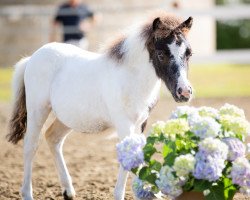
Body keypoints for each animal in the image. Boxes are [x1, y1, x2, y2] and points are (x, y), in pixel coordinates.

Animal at [6, 12, 193, 200]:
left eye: (188, 53)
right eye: (161, 54)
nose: (184, 92)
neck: (131, 78)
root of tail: (31, 58)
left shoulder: (140, 123)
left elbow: (140, 155)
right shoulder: (124, 124)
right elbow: (129, 156)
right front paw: (120, 194)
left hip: (67, 118)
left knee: (53, 138)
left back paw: (68, 191)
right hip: (38, 110)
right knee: (30, 145)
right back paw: (27, 193)